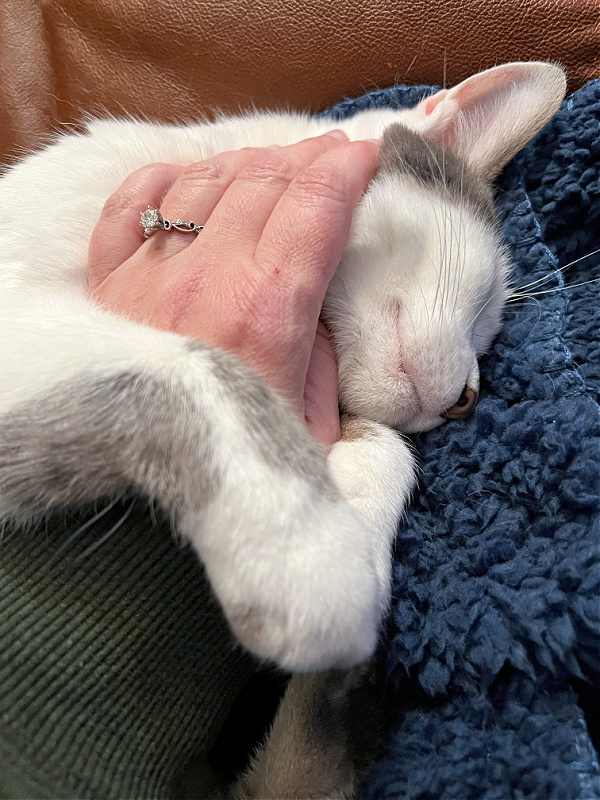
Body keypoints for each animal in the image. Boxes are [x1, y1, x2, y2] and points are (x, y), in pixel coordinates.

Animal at [0, 61, 564, 792]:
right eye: (485, 300)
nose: (466, 400)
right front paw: (305, 557)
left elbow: (384, 443)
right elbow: (195, 365)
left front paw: (358, 520)